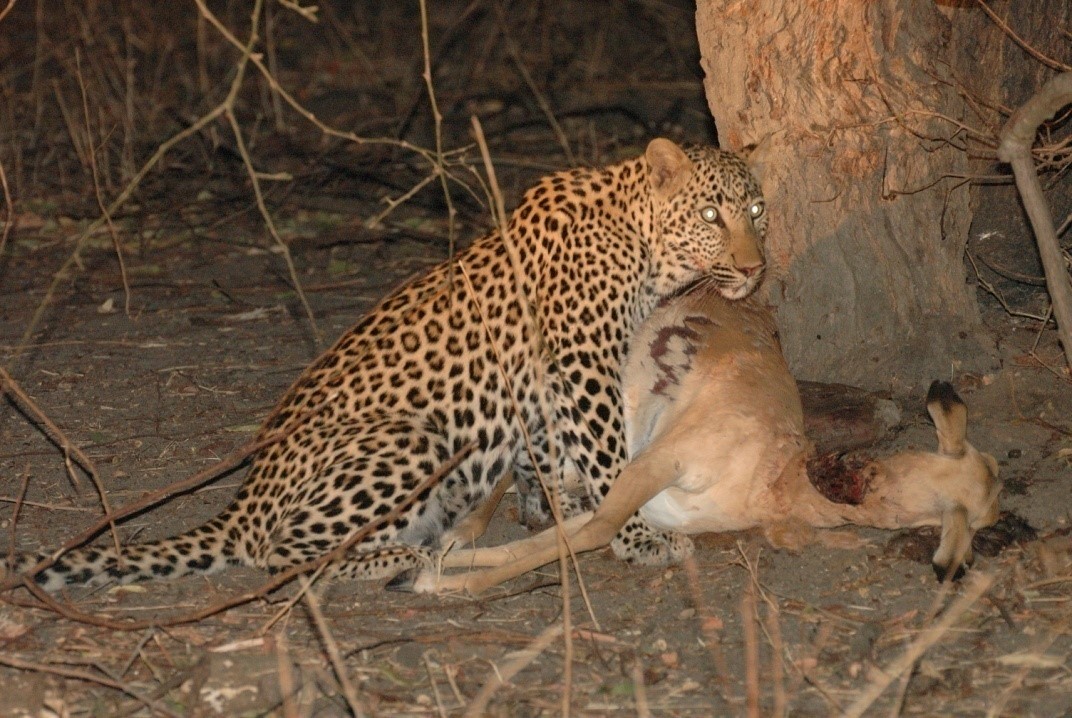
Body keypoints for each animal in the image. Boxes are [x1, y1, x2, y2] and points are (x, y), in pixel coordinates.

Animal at [9, 138, 768, 592]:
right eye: (710, 213)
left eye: (757, 208)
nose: (757, 268)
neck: (642, 244)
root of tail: (244, 501)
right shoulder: (581, 359)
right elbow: (608, 453)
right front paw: (634, 534)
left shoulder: (546, 380)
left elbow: (552, 452)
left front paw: (561, 508)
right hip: (409, 439)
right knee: (281, 554)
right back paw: (406, 559)